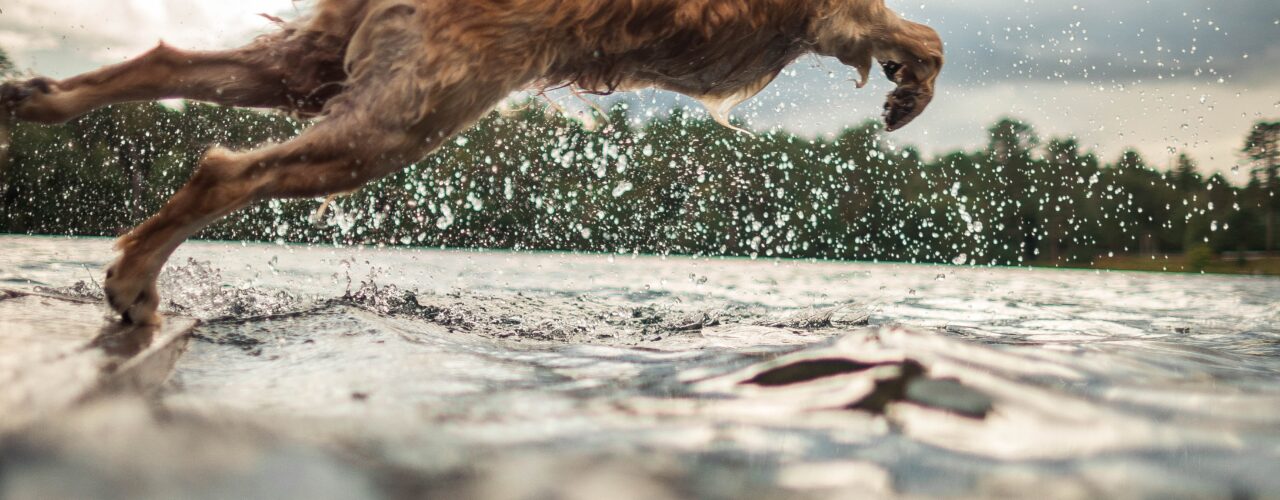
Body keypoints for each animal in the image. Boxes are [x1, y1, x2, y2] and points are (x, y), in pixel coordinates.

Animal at [0, 0, 942, 324]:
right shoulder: (842, 14)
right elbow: (922, 35)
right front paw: (909, 92)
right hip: (399, 122)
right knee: (224, 170)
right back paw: (132, 283)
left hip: (323, 71)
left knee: (166, 61)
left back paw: (36, 97)